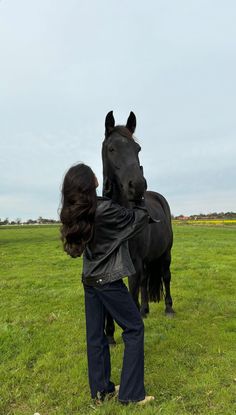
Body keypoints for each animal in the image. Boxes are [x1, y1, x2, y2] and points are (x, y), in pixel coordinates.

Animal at [102, 111, 174, 344]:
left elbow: (131, 296)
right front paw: (109, 335)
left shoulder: (134, 263)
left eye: (138, 149)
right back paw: (144, 310)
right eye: (111, 148)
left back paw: (169, 309)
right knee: (145, 281)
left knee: (165, 276)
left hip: (165, 254)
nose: (138, 186)